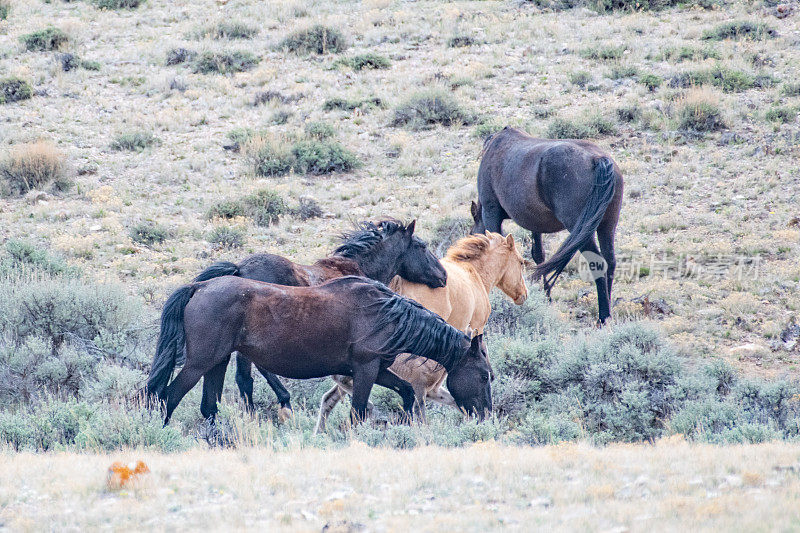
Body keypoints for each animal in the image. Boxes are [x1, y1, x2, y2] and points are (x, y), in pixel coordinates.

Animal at [146, 274, 490, 424]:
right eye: (486, 376)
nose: (485, 415)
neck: (387, 314)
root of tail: (199, 286)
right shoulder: (365, 370)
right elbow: (358, 412)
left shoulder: (376, 370)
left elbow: (405, 393)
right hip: (198, 363)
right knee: (168, 396)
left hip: (216, 363)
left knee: (208, 408)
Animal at [184, 218, 446, 418]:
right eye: (422, 247)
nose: (442, 276)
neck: (356, 267)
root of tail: (239, 269)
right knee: (251, 374)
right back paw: (283, 403)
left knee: (244, 378)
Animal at [468, 127, 624, 322]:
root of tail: (598, 159)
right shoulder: (535, 223)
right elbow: (539, 255)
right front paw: (545, 295)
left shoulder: (491, 212)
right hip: (607, 226)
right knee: (610, 261)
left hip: (582, 230)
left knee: (598, 263)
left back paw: (603, 316)